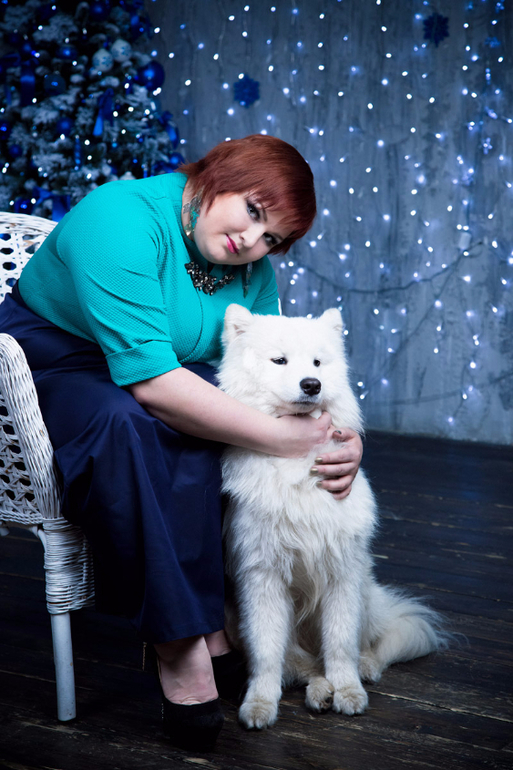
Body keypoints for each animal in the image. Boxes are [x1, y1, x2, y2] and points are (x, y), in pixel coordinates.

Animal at [218, 304, 448, 730]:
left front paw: (349, 691)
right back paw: (319, 690)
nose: (312, 384)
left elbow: (341, 644)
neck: (301, 464)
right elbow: (267, 653)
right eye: (279, 361)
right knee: (304, 665)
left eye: (317, 362)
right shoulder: (262, 578)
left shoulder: (343, 573)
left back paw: (362, 669)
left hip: (366, 593)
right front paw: (259, 703)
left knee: (372, 643)